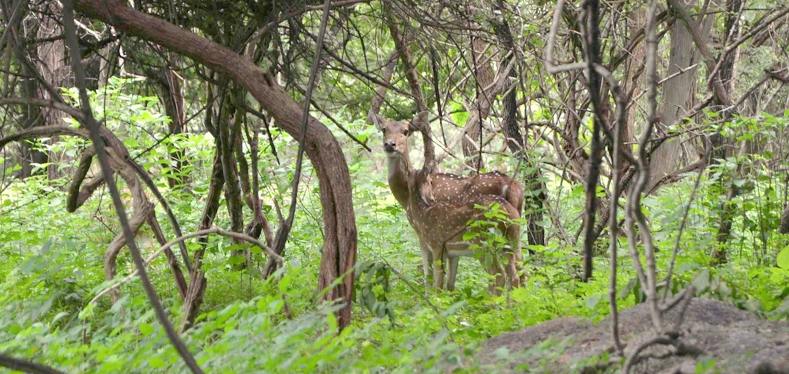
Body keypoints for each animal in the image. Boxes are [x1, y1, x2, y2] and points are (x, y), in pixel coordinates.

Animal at [368, 112, 524, 294]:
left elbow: (429, 274)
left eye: (406, 131)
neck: (405, 197)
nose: (390, 144)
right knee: (520, 270)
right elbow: (450, 281)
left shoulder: (422, 232)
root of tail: (514, 186)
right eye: (384, 129)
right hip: (515, 233)